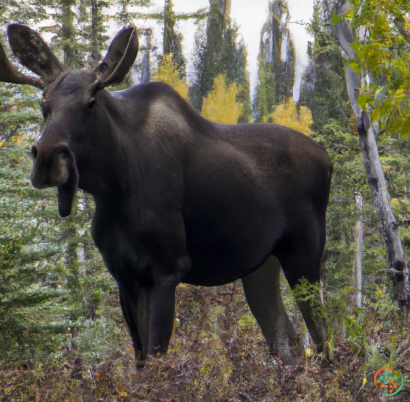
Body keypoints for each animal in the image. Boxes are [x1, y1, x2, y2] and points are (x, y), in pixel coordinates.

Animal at [0, 23, 334, 366]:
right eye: (44, 105)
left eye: (91, 102)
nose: (48, 157)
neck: (114, 188)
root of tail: (328, 160)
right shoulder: (125, 276)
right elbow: (140, 359)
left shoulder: (168, 268)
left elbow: (156, 357)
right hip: (261, 265)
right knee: (286, 339)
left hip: (305, 254)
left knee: (322, 336)